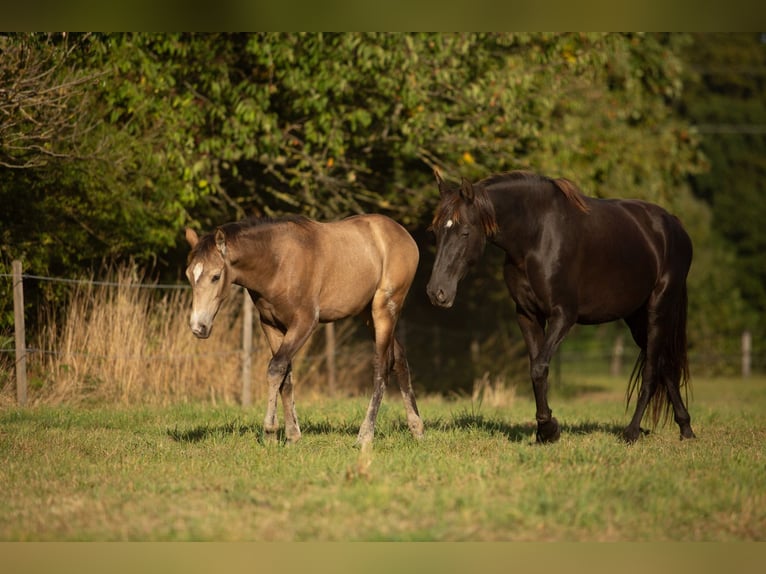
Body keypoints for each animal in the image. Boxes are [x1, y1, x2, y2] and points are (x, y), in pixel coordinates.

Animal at [184, 214, 424, 447]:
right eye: (189, 275)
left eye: (216, 276)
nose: (198, 327)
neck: (277, 262)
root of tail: (404, 235)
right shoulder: (271, 325)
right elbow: (286, 377)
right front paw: (292, 436)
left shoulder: (305, 322)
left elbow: (275, 368)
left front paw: (270, 432)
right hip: (368, 314)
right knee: (399, 359)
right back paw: (417, 429)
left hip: (384, 310)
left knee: (381, 367)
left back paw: (365, 436)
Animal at [426, 170, 695, 444]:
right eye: (435, 231)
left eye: (465, 232)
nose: (437, 292)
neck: (536, 235)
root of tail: (674, 226)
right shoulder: (528, 315)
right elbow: (536, 368)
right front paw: (545, 430)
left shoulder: (563, 315)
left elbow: (539, 367)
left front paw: (548, 428)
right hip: (637, 318)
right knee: (665, 365)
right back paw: (686, 428)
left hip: (658, 310)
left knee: (651, 370)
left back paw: (631, 432)